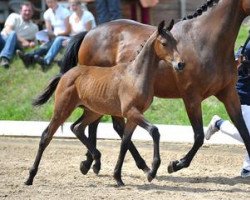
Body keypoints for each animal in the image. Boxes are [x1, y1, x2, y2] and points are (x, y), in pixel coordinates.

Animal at [24, 20, 183, 186]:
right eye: (164, 43)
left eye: (175, 42)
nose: (180, 64)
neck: (136, 75)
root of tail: (65, 75)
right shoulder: (131, 112)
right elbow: (154, 131)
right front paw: (152, 171)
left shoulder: (134, 116)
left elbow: (125, 143)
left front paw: (118, 177)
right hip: (62, 110)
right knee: (46, 136)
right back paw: (30, 177)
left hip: (93, 112)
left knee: (77, 128)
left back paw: (93, 159)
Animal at [34, 0, 250, 177]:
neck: (205, 40)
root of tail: (89, 32)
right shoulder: (191, 97)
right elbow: (198, 137)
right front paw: (175, 164)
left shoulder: (229, 94)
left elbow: (244, 131)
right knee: (111, 126)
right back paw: (125, 164)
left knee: (97, 125)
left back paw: (93, 163)